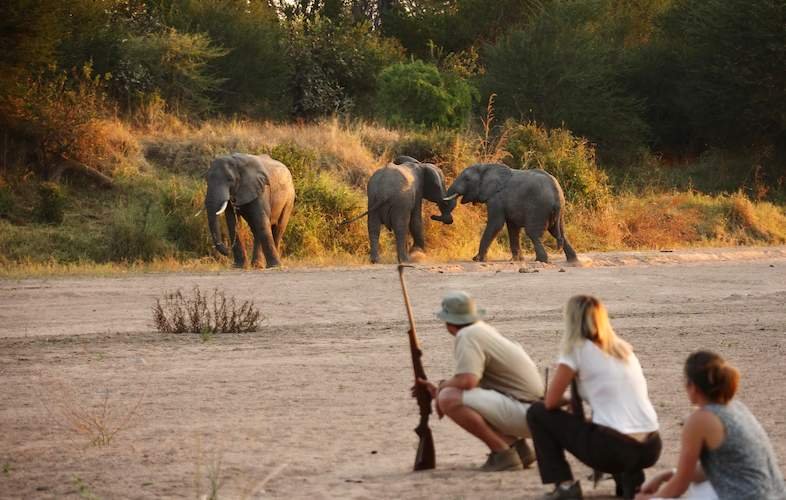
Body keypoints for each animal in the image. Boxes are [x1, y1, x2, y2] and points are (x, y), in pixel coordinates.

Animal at [440, 164, 576, 266]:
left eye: (467, 179)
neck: (486, 167)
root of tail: (557, 193)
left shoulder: (496, 198)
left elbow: (496, 224)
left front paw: (477, 259)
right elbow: (513, 228)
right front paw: (516, 260)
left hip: (538, 208)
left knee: (533, 233)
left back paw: (541, 260)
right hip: (557, 212)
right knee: (559, 233)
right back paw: (573, 261)